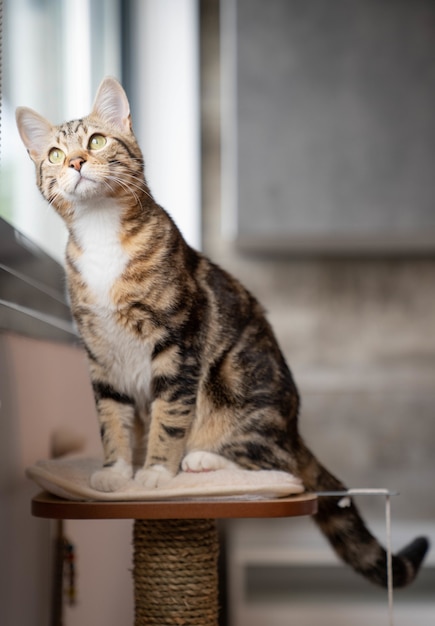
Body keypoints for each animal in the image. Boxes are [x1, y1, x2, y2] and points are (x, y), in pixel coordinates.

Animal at [16, 77, 430, 584]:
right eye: (55, 154)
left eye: (95, 142)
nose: (75, 162)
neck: (102, 237)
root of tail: (293, 429)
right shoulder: (100, 353)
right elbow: (111, 417)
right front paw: (117, 472)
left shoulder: (178, 342)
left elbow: (169, 414)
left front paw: (156, 473)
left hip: (236, 385)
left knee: (281, 464)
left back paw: (202, 459)